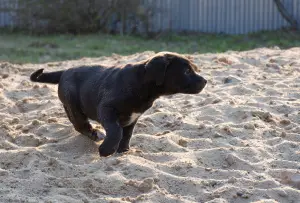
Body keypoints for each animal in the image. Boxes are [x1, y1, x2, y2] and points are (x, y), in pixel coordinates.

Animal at [30, 51, 207, 156]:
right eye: (187, 71)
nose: (205, 81)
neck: (142, 83)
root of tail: (65, 71)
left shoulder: (133, 118)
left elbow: (127, 134)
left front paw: (123, 150)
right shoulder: (106, 109)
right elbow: (116, 131)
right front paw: (106, 150)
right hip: (73, 105)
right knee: (80, 124)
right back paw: (94, 134)